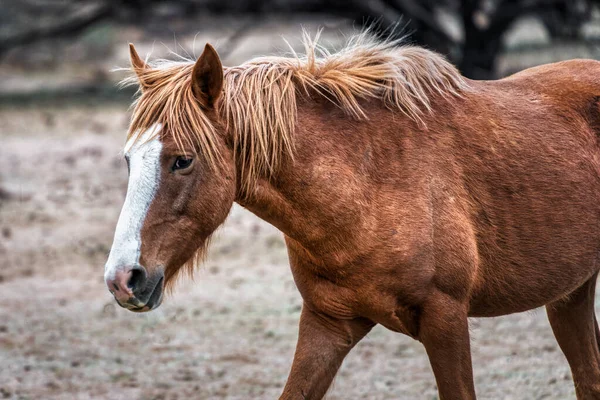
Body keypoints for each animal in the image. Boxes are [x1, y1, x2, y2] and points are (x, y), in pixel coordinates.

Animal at [103, 32, 600, 400]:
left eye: (182, 161)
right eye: (128, 159)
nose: (122, 279)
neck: (369, 186)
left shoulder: (446, 320)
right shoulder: (327, 324)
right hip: (570, 295)